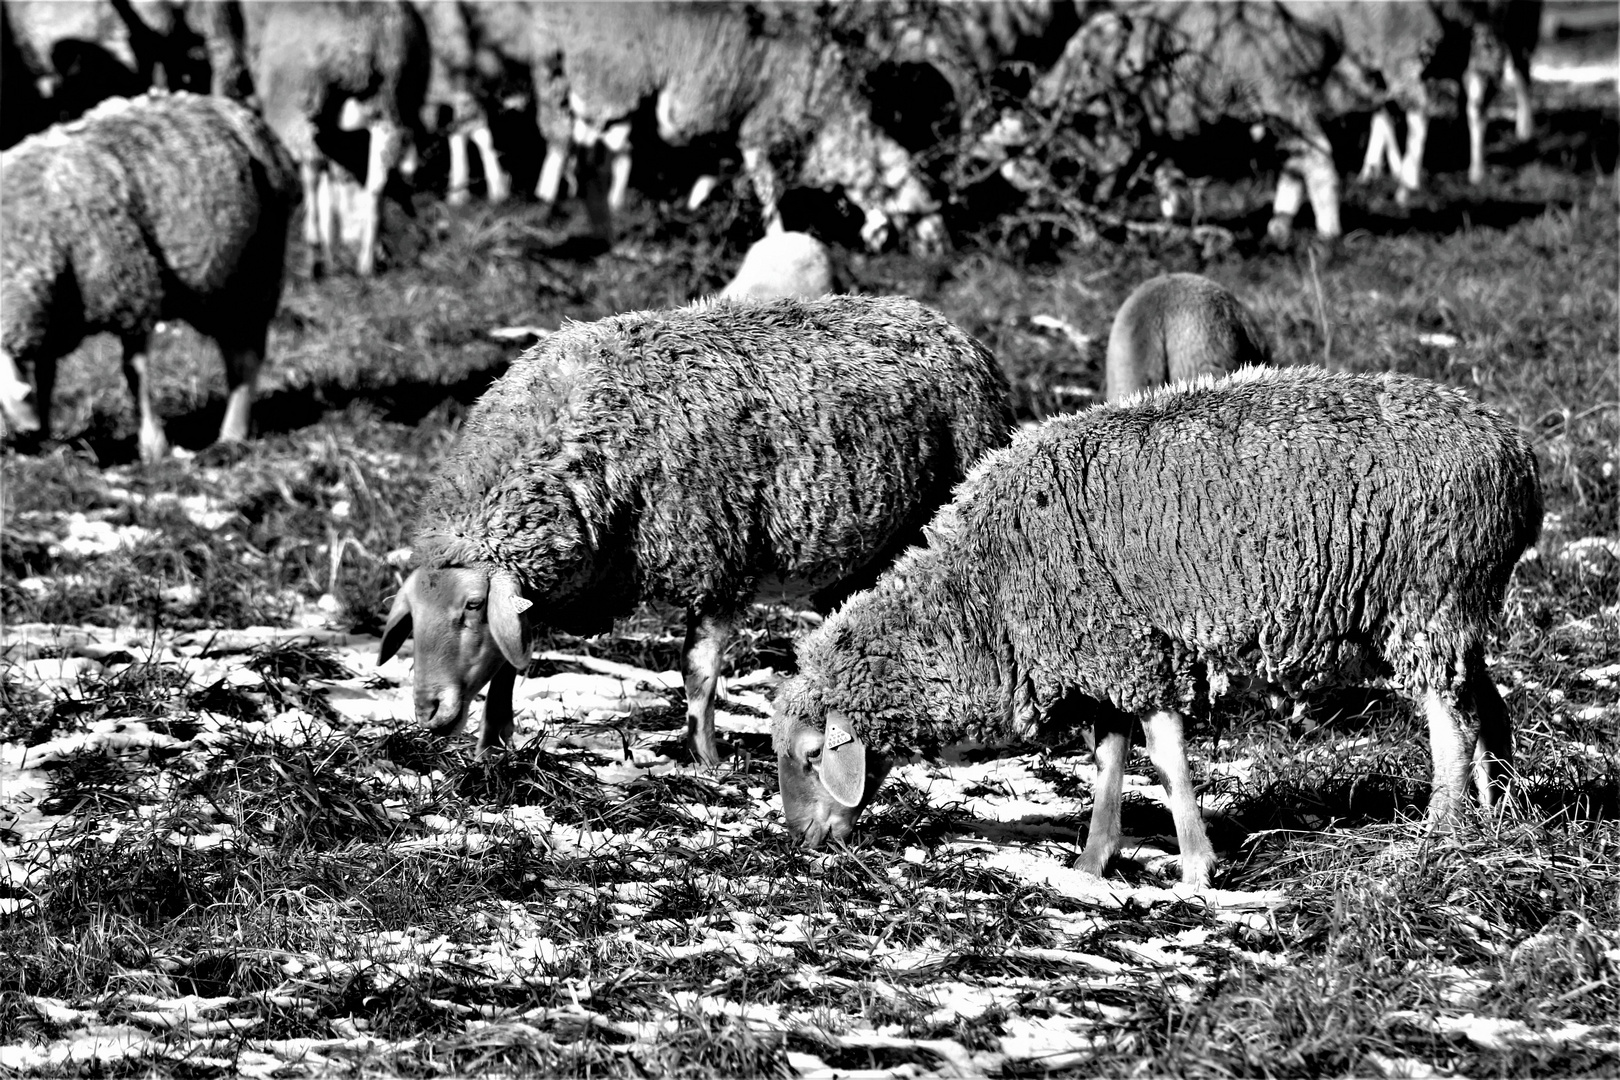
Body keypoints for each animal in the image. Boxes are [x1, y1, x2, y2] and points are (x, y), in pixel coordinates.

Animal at [0, 91, 301, 459]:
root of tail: (235, 111)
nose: (25, 431)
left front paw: (153, 446)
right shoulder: (55, 313)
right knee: (234, 348)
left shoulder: (132, 290)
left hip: (255, 267)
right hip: (214, 286)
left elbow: (134, 370)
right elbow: (46, 373)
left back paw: (232, 434)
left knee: (247, 351)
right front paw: (45, 435)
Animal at [249, 2, 427, 278]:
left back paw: (314, 255)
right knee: (377, 183)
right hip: (390, 98)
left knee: (312, 165)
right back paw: (366, 262)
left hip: (299, 100)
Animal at [379, 296, 1010, 767]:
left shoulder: (719, 563)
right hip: (864, 555)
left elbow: (698, 672)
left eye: (471, 607)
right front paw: (493, 747)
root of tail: (942, 321)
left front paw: (706, 758)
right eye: (413, 614)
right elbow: (511, 666)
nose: (426, 710)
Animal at [771, 367, 1542, 893]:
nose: (802, 843)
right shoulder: (1106, 656)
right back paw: (1495, 810)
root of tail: (1516, 454)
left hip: (1427, 598)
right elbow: (1109, 762)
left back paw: (1439, 830)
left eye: (812, 756)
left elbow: (1166, 760)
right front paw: (1092, 862)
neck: (981, 597)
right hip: (1453, 609)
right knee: (1484, 706)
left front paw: (1197, 867)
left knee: (1450, 724)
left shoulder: (1135, 652)